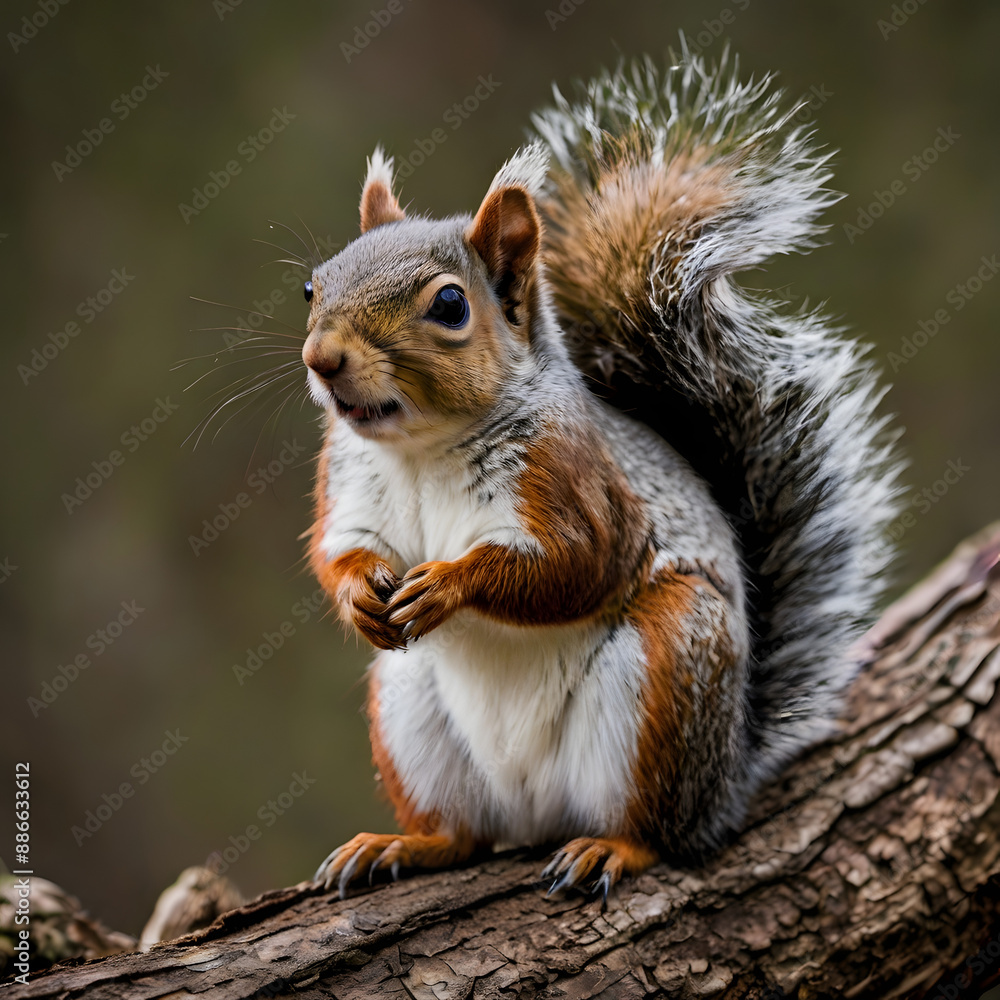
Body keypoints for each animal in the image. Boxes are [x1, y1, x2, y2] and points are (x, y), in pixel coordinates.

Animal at [303, 49, 901, 900]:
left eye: (450, 306)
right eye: (313, 285)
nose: (322, 359)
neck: (424, 448)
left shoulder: (575, 483)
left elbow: (576, 566)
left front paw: (450, 584)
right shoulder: (349, 483)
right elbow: (339, 552)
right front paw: (360, 595)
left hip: (668, 669)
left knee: (656, 827)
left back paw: (612, 849)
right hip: (408, 703)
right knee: (464, 835)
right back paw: (403, 844)